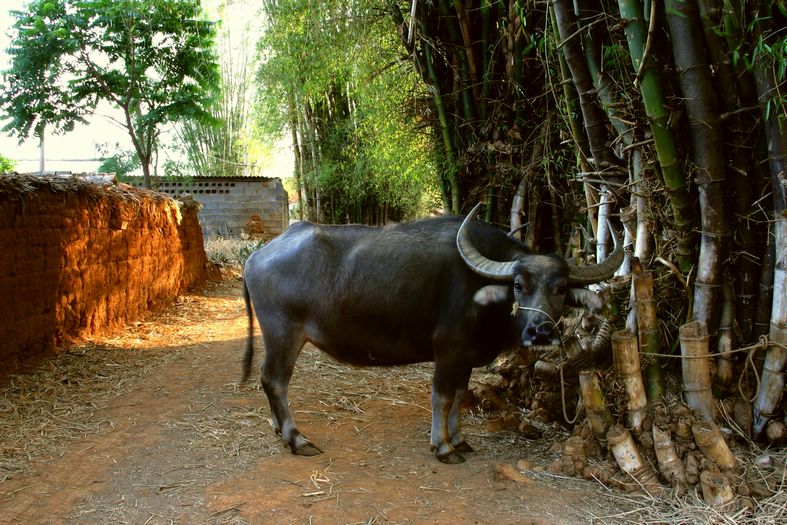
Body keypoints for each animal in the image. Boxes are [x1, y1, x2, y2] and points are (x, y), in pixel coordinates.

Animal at [242, 205, 620, 462]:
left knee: (271, 382)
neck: (480, 290)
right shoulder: (448, 351)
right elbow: (442, 396)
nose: (540, 331)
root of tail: (256, 256)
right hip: (283, 335)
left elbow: (460, 395)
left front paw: (460, 438)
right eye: (518, 285)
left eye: (560, 288)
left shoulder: (465, 358)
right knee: (274, 380)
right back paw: (296, 439)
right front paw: (443, 447)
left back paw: (280, 429)